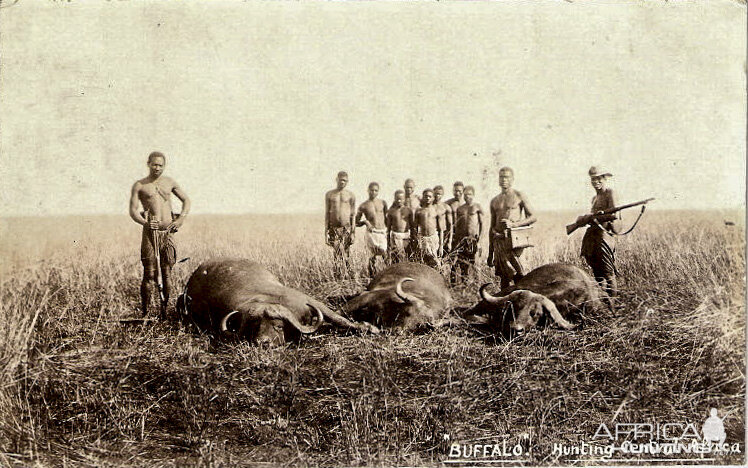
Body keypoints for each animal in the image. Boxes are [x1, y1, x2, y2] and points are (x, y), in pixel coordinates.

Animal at [178, 258, 380, 346]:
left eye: (278, 326)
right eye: (255, 326)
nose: (263, 342)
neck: (270, 298)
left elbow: (340, 318)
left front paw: (369, 327)